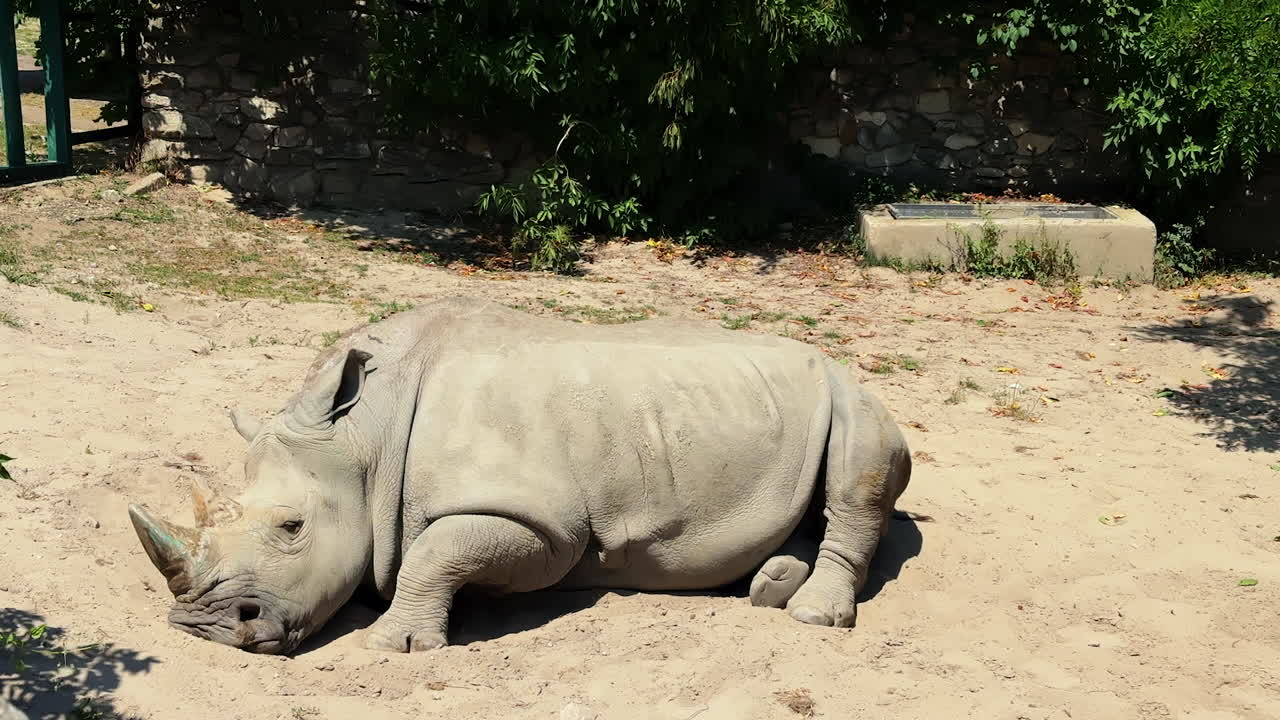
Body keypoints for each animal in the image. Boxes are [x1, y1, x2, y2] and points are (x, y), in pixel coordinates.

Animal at [128, 297, 911, 654]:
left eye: (293, 527)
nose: (202, 626)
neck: (364, 439)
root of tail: (830, 358)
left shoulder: (545, 527)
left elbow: (435, 554)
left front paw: (397, 645)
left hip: (848, 389)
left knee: (858, 477)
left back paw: (812, 614)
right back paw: (770, 585)